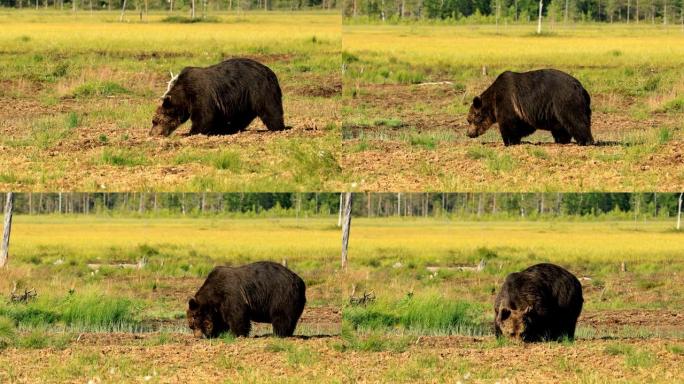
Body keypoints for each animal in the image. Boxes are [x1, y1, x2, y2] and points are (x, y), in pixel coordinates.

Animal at [151, 57, 288, 137]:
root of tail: (271, 72)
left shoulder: (202, 95)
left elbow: (204, 117)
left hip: (259, 89)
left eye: (155, 121)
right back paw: (232, 128)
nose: (151, 133)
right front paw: (218, 129)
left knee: (270, 109)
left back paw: (277, 128)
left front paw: (191, 132)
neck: (184, 96)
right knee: (242, 116)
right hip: (245, 99)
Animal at [464, 69, 592, 146]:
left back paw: (585, 141)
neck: (493, 101)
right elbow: (524, 125)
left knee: (576, 120)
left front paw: (509, 141)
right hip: (556, 110)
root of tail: (581, 87)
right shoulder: (521, 109)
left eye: (469, 120)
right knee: (561, 126)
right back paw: (562, 140)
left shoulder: (507, 101)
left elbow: (508, 124)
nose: (468, 134)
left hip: (564, 100)